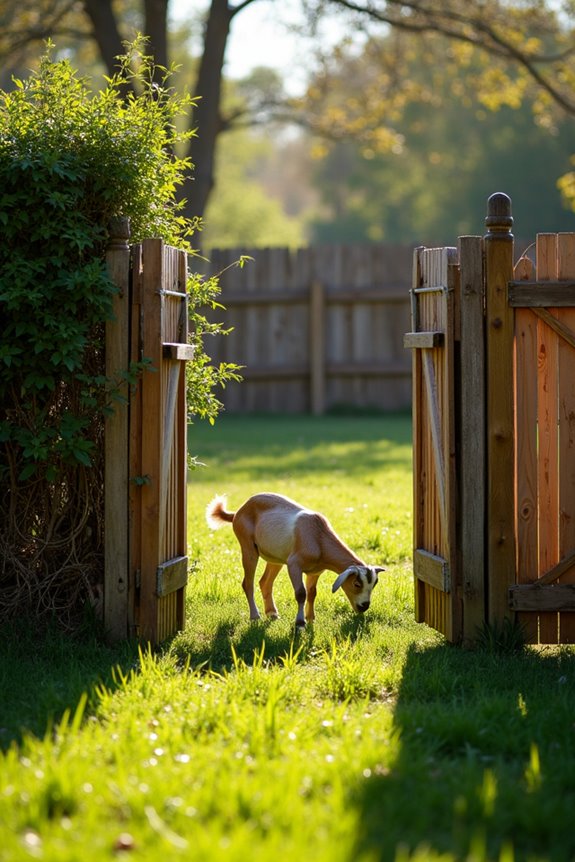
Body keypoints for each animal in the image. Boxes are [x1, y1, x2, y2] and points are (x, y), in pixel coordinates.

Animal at [205, 492, 384, 628]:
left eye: (374, 584)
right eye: (357, 583)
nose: (364, 606)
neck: (318, 536)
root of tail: (238, 512)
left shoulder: (315, 571)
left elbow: (312, 593)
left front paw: (311, 619)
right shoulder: (294, 565)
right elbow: (301, 593)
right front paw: (300, 623)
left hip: (275, 559)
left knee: (265, 582)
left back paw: (272, 613)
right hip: (248, 548)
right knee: (247, 583)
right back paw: (255, 616)